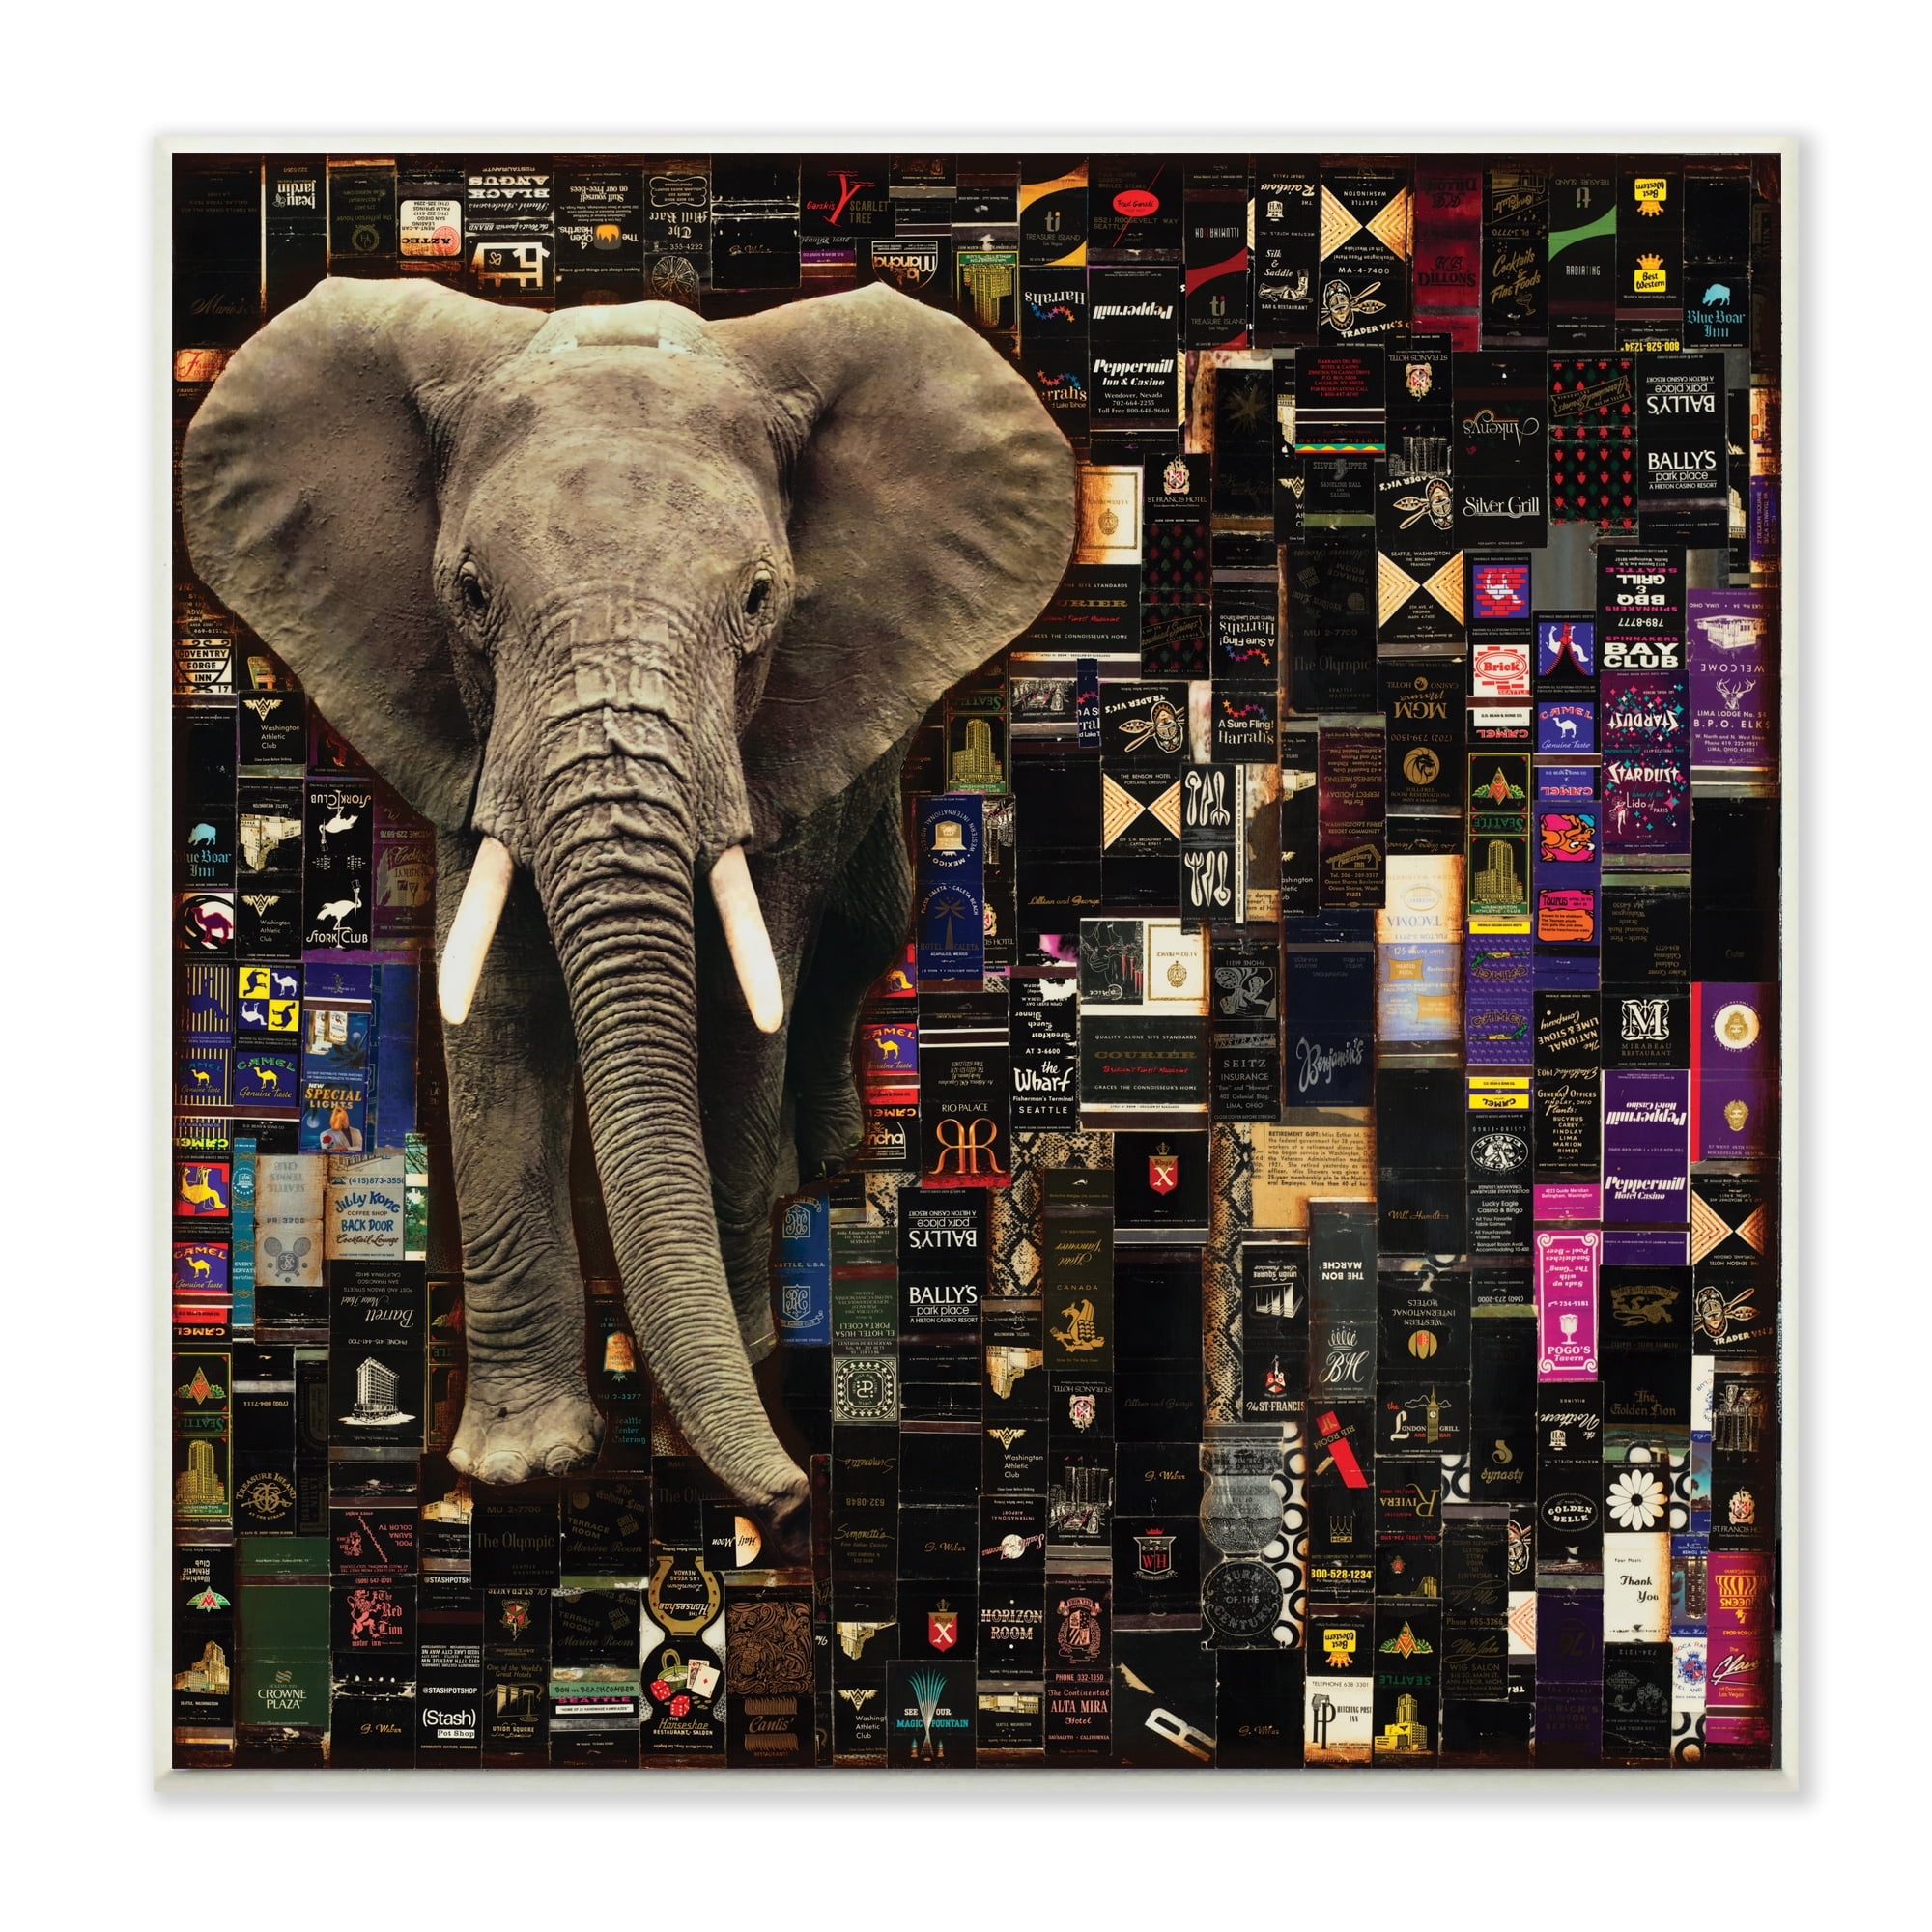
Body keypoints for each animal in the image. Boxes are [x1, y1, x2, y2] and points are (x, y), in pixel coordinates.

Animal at [180, 277, 1075, 1547]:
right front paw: (522, 1462)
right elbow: (498, 1004)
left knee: (861, 929)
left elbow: (741, 1009)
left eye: (758, 599)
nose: (791, 1495)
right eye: (469, 593)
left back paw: (823, 1162)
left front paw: (721, 1385)